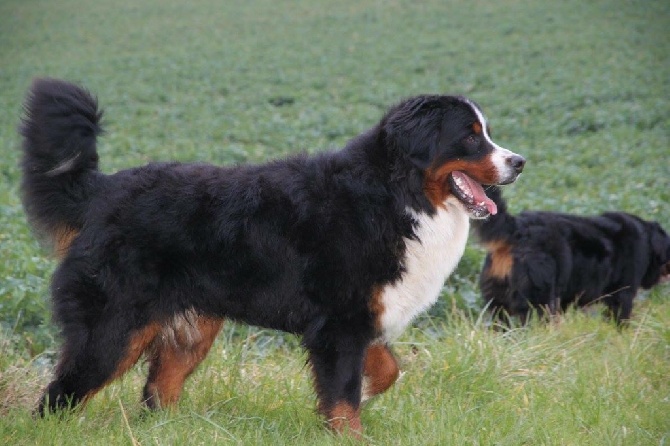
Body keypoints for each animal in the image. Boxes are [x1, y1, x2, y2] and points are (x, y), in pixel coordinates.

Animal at [19, 77, 524, 436]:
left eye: (487, 133)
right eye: (470, 137)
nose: (519, 162)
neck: (396, 196)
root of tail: (103, 190)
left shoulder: (361, 316)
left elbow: (385, 371)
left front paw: (364, 394)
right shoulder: (339, 323)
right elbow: (344, 398)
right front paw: (349, 430)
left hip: (193, 328)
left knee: (158, 392)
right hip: (114, 329)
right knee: (59, 396)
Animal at [472, 186, 670, 328]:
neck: (648, 241)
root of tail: (518, 228)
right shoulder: (623, 293)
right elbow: (620, 318)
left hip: (497, 301)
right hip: (539, 298)